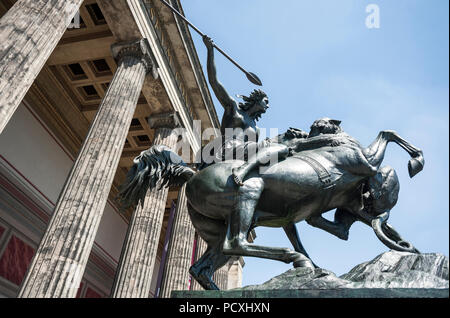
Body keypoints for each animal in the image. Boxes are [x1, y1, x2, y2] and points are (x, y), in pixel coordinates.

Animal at [118, 119, 424, 290]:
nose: (375, 203)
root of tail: (191, 175)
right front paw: (416, 160)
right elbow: (386, 134)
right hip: (250, 193)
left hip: (216, 231)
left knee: (202, 267)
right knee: (237, 243)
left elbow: (344, 228)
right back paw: (294, 258)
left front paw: (407, 247)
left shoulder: (323, 215)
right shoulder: (365, 161)